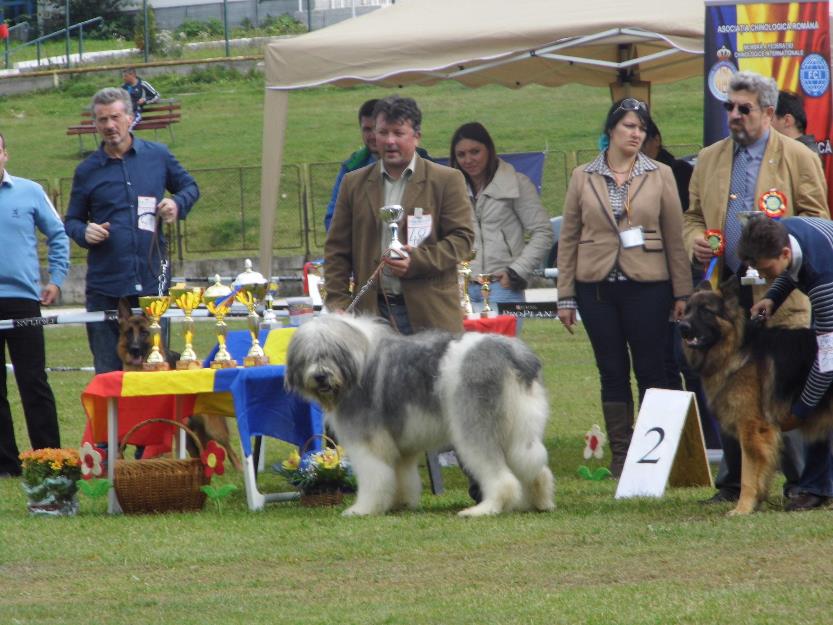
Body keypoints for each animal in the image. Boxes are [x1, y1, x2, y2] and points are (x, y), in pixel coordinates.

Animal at [114, 298, 239, 468]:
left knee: (231, 450)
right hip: (189, 433)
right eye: (128, 332)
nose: (134, 349)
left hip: (212, 428)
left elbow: (166, 450)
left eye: (144, 332)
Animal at [676, 276, 832, 512]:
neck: (736, 348)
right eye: (687, 311)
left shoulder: (752, 429)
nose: (682, 327)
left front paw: (742, 508)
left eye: (705, 311)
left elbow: (748, 476)